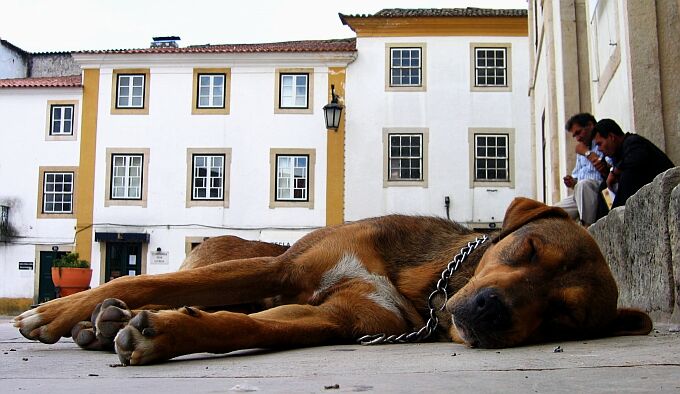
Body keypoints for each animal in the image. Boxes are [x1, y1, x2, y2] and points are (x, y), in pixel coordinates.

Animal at [15, 199, 652, 364]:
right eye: (526, 247)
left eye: (562, 317)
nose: (491, 312)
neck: (422, 288)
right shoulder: (284, 268)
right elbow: (147, 285)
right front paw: (50, 314)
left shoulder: (340, 319)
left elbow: (245, 328)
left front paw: (165, 335)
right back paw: (92, 317)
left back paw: (109, 326)